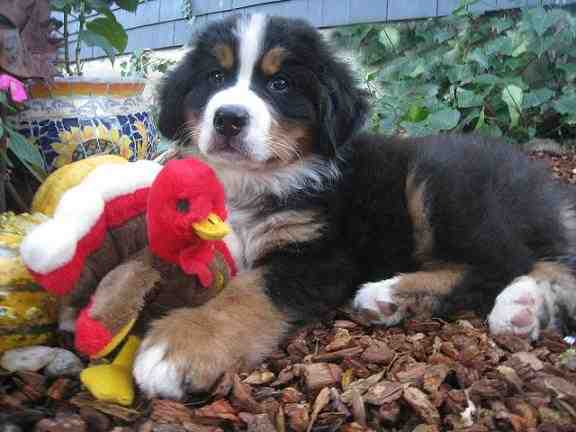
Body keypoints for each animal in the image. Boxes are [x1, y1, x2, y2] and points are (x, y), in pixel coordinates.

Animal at [132, 14, 576, 399]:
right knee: (547, 262)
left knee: (499, 263)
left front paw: (182, 344)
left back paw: (392, 293)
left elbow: (250, 290)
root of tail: (543, 187)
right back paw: (521, 307)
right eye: (215, 77)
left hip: (443, 176)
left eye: (280, 84)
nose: (228, 119)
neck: (256, 181)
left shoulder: (320, 253)